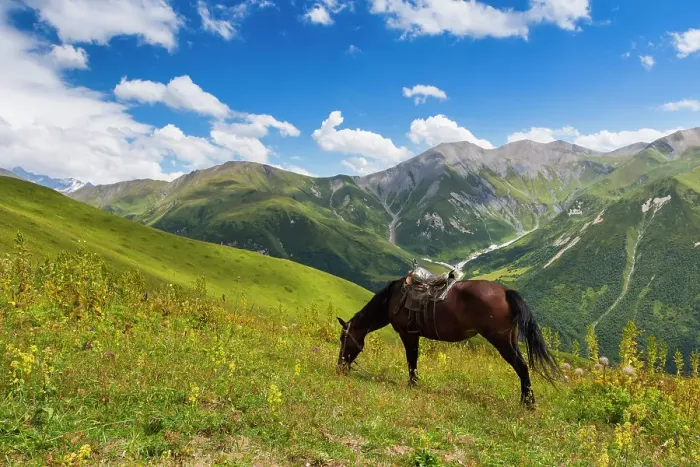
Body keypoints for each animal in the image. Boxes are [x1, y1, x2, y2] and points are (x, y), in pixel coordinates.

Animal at [335, 275, 561, 409]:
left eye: (343, 338)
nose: (340, 368)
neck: (392, 298)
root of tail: (505, 292)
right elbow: (413, 360)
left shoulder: (408, 334)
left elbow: (411, 361)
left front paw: (412, 384)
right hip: (510, 340)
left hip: (501, 341)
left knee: (521, 367)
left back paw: (528, 404)